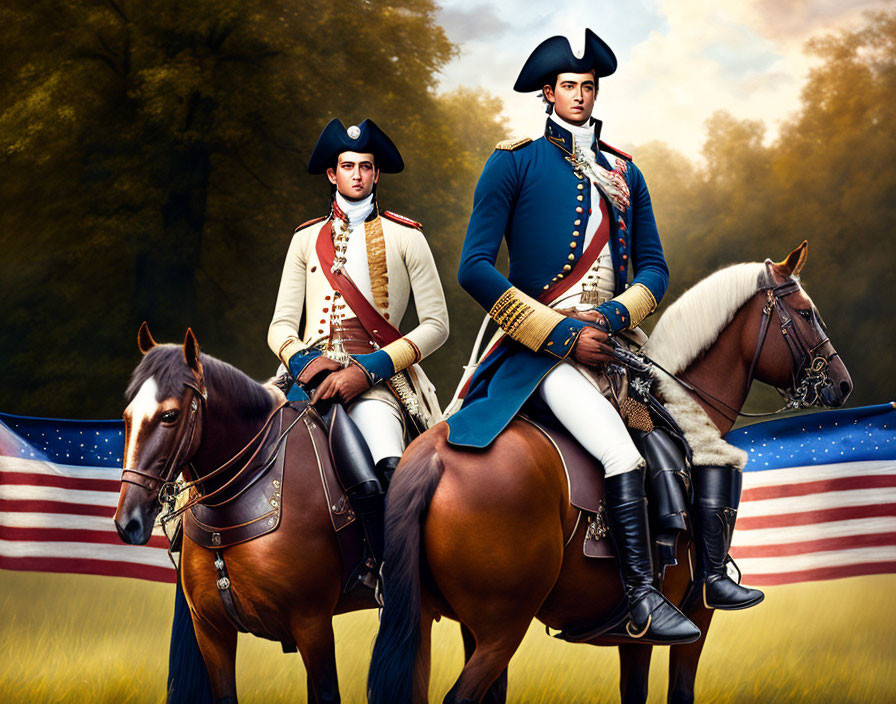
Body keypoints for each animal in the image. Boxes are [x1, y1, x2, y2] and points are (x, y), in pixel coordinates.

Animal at [366, 243, 856, 704]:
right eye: (806, 313)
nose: (843, 383)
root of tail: (434, 456)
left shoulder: (634, 638)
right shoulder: (696, 620)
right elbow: (680, 689)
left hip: (430, 623)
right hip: (502, 628)